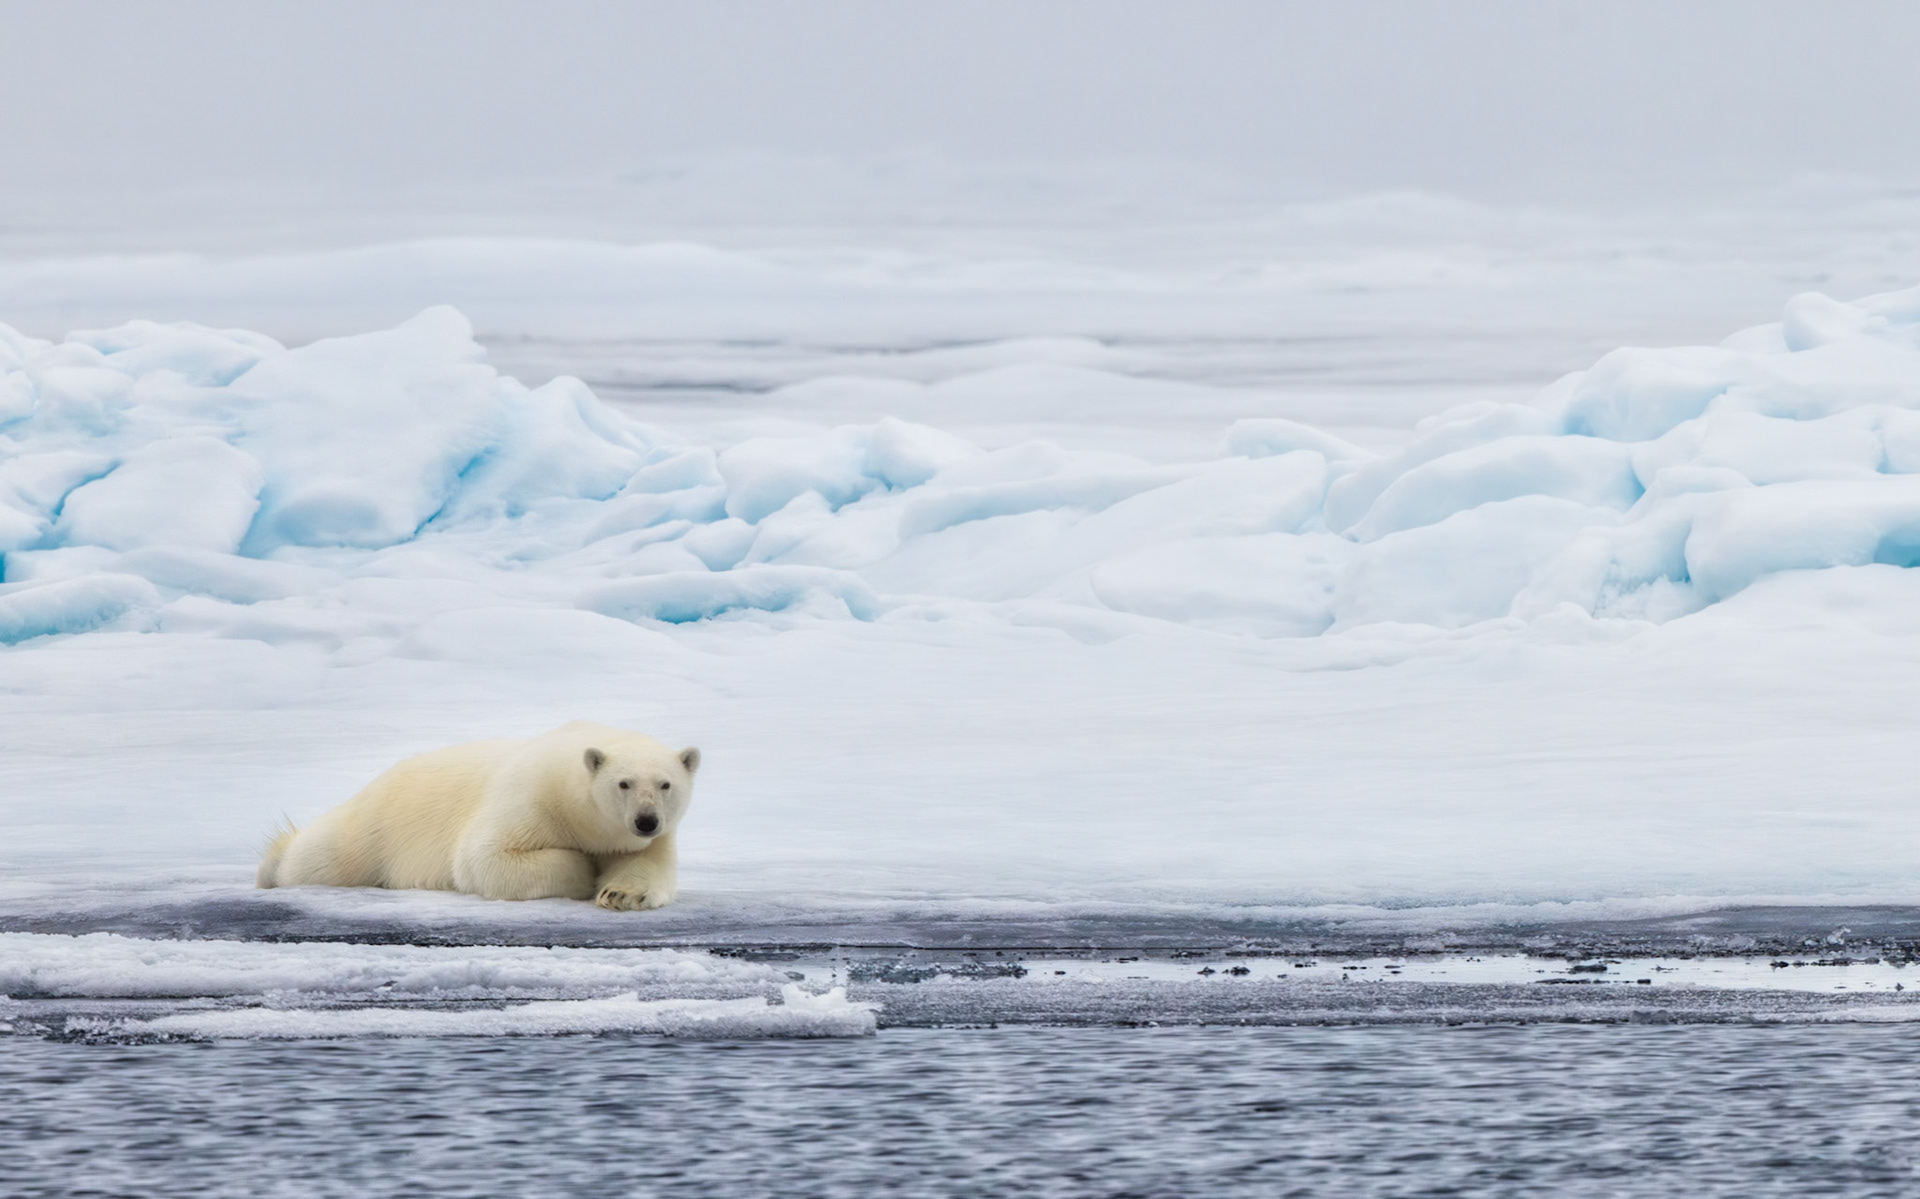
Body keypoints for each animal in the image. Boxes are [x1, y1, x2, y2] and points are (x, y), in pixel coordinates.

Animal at [256, 721, 700, 911]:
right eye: (624, 783)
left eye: (665, 784)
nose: (646, 820)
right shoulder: (531, 799)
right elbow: (485, 858)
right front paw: (586, 869)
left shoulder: (651, 839)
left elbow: (648, 867)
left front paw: (619, 893)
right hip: (376, 826)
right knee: (321, 858)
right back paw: (273, 863)